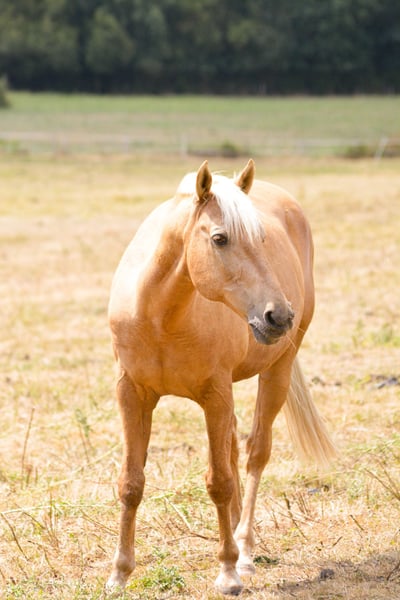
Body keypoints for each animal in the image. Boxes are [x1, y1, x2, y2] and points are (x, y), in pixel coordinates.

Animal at [106, 159, 336, 596]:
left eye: (261, 239)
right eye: (219, 238)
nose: (279, 315)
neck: (162, 317)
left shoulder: (215, 395)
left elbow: (219, 482)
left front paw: (228, 572)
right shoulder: (132, 394)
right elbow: (131, 482)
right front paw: (119, 574)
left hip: (277, 371)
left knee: (254, 453)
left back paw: (244, 550)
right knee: (231, 449)